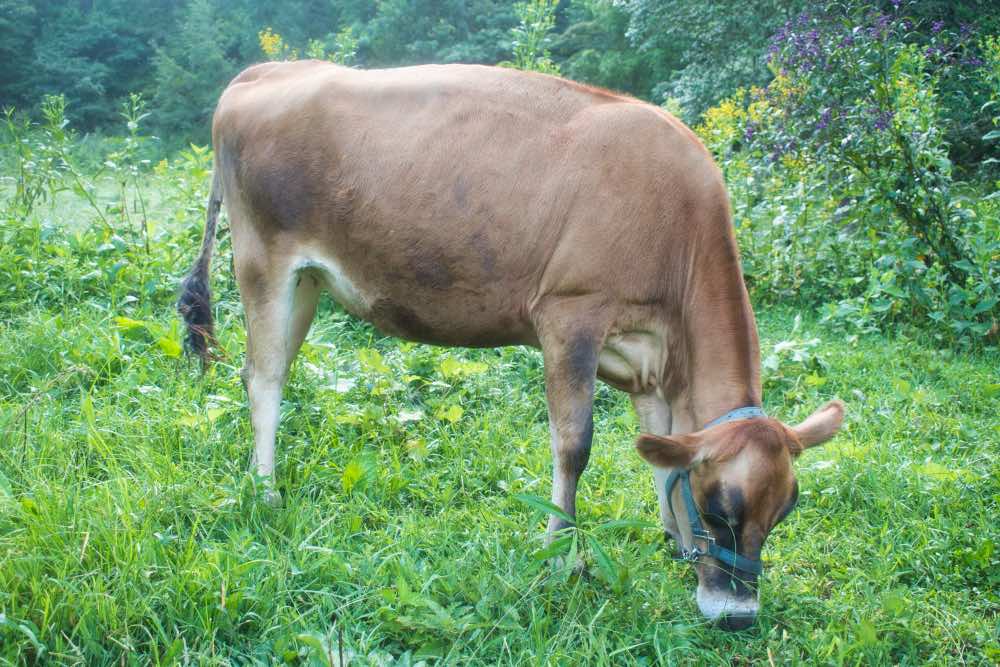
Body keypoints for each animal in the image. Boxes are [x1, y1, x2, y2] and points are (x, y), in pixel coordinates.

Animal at [178, 61, 844, 630]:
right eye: (720, 509)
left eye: (783, 511)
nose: (737, 616)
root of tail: (267, 70)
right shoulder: (571, 315)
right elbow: (575, 447)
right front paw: (558, 554)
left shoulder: (648, 359)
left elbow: (661, 451)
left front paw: (673, 541)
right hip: (263, 260)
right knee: (263, 377)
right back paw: (266, 493)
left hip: (309, 282)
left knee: (270, 371)